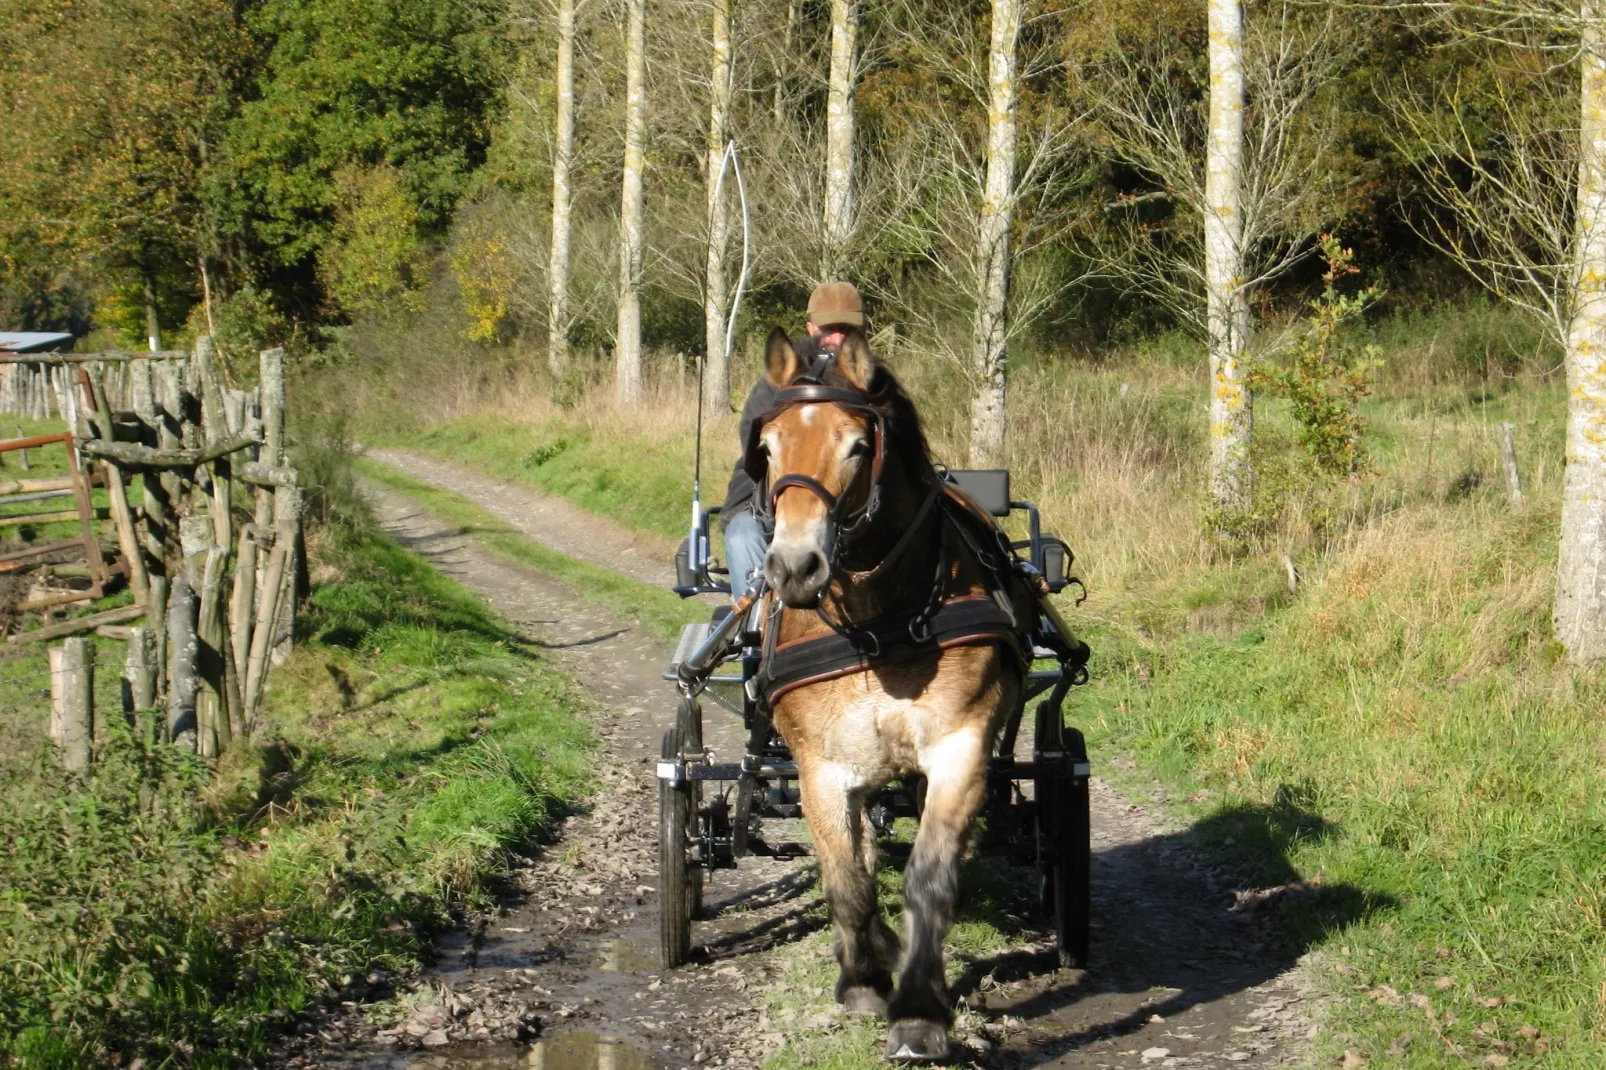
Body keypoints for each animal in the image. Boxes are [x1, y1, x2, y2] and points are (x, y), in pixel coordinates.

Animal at [751, 324, 1027, 1060]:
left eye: (856, 446)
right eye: (768, 447)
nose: (794, 567)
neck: (881, 624)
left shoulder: (962, 746)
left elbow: (928, 878)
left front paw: (920, 1010)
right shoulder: (822, 767)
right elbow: (848, 880)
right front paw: (865, 979)